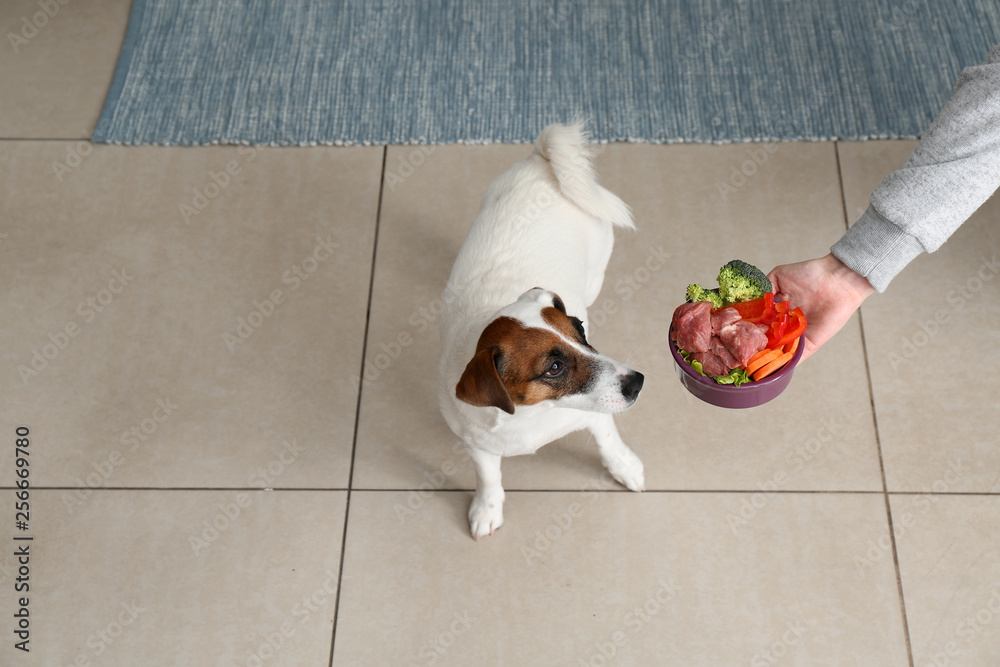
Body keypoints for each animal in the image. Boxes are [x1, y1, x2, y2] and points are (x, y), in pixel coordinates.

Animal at [440, 124, 648, 544]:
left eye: (579, 329)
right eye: (553, 367)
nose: (637, 382)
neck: (530, 415)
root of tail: (545, 160)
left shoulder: (596, 417)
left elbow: (609, 443)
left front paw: (625, 466)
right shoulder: (476, 444)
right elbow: (488, 476)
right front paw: (487, 508)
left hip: (597, 269)